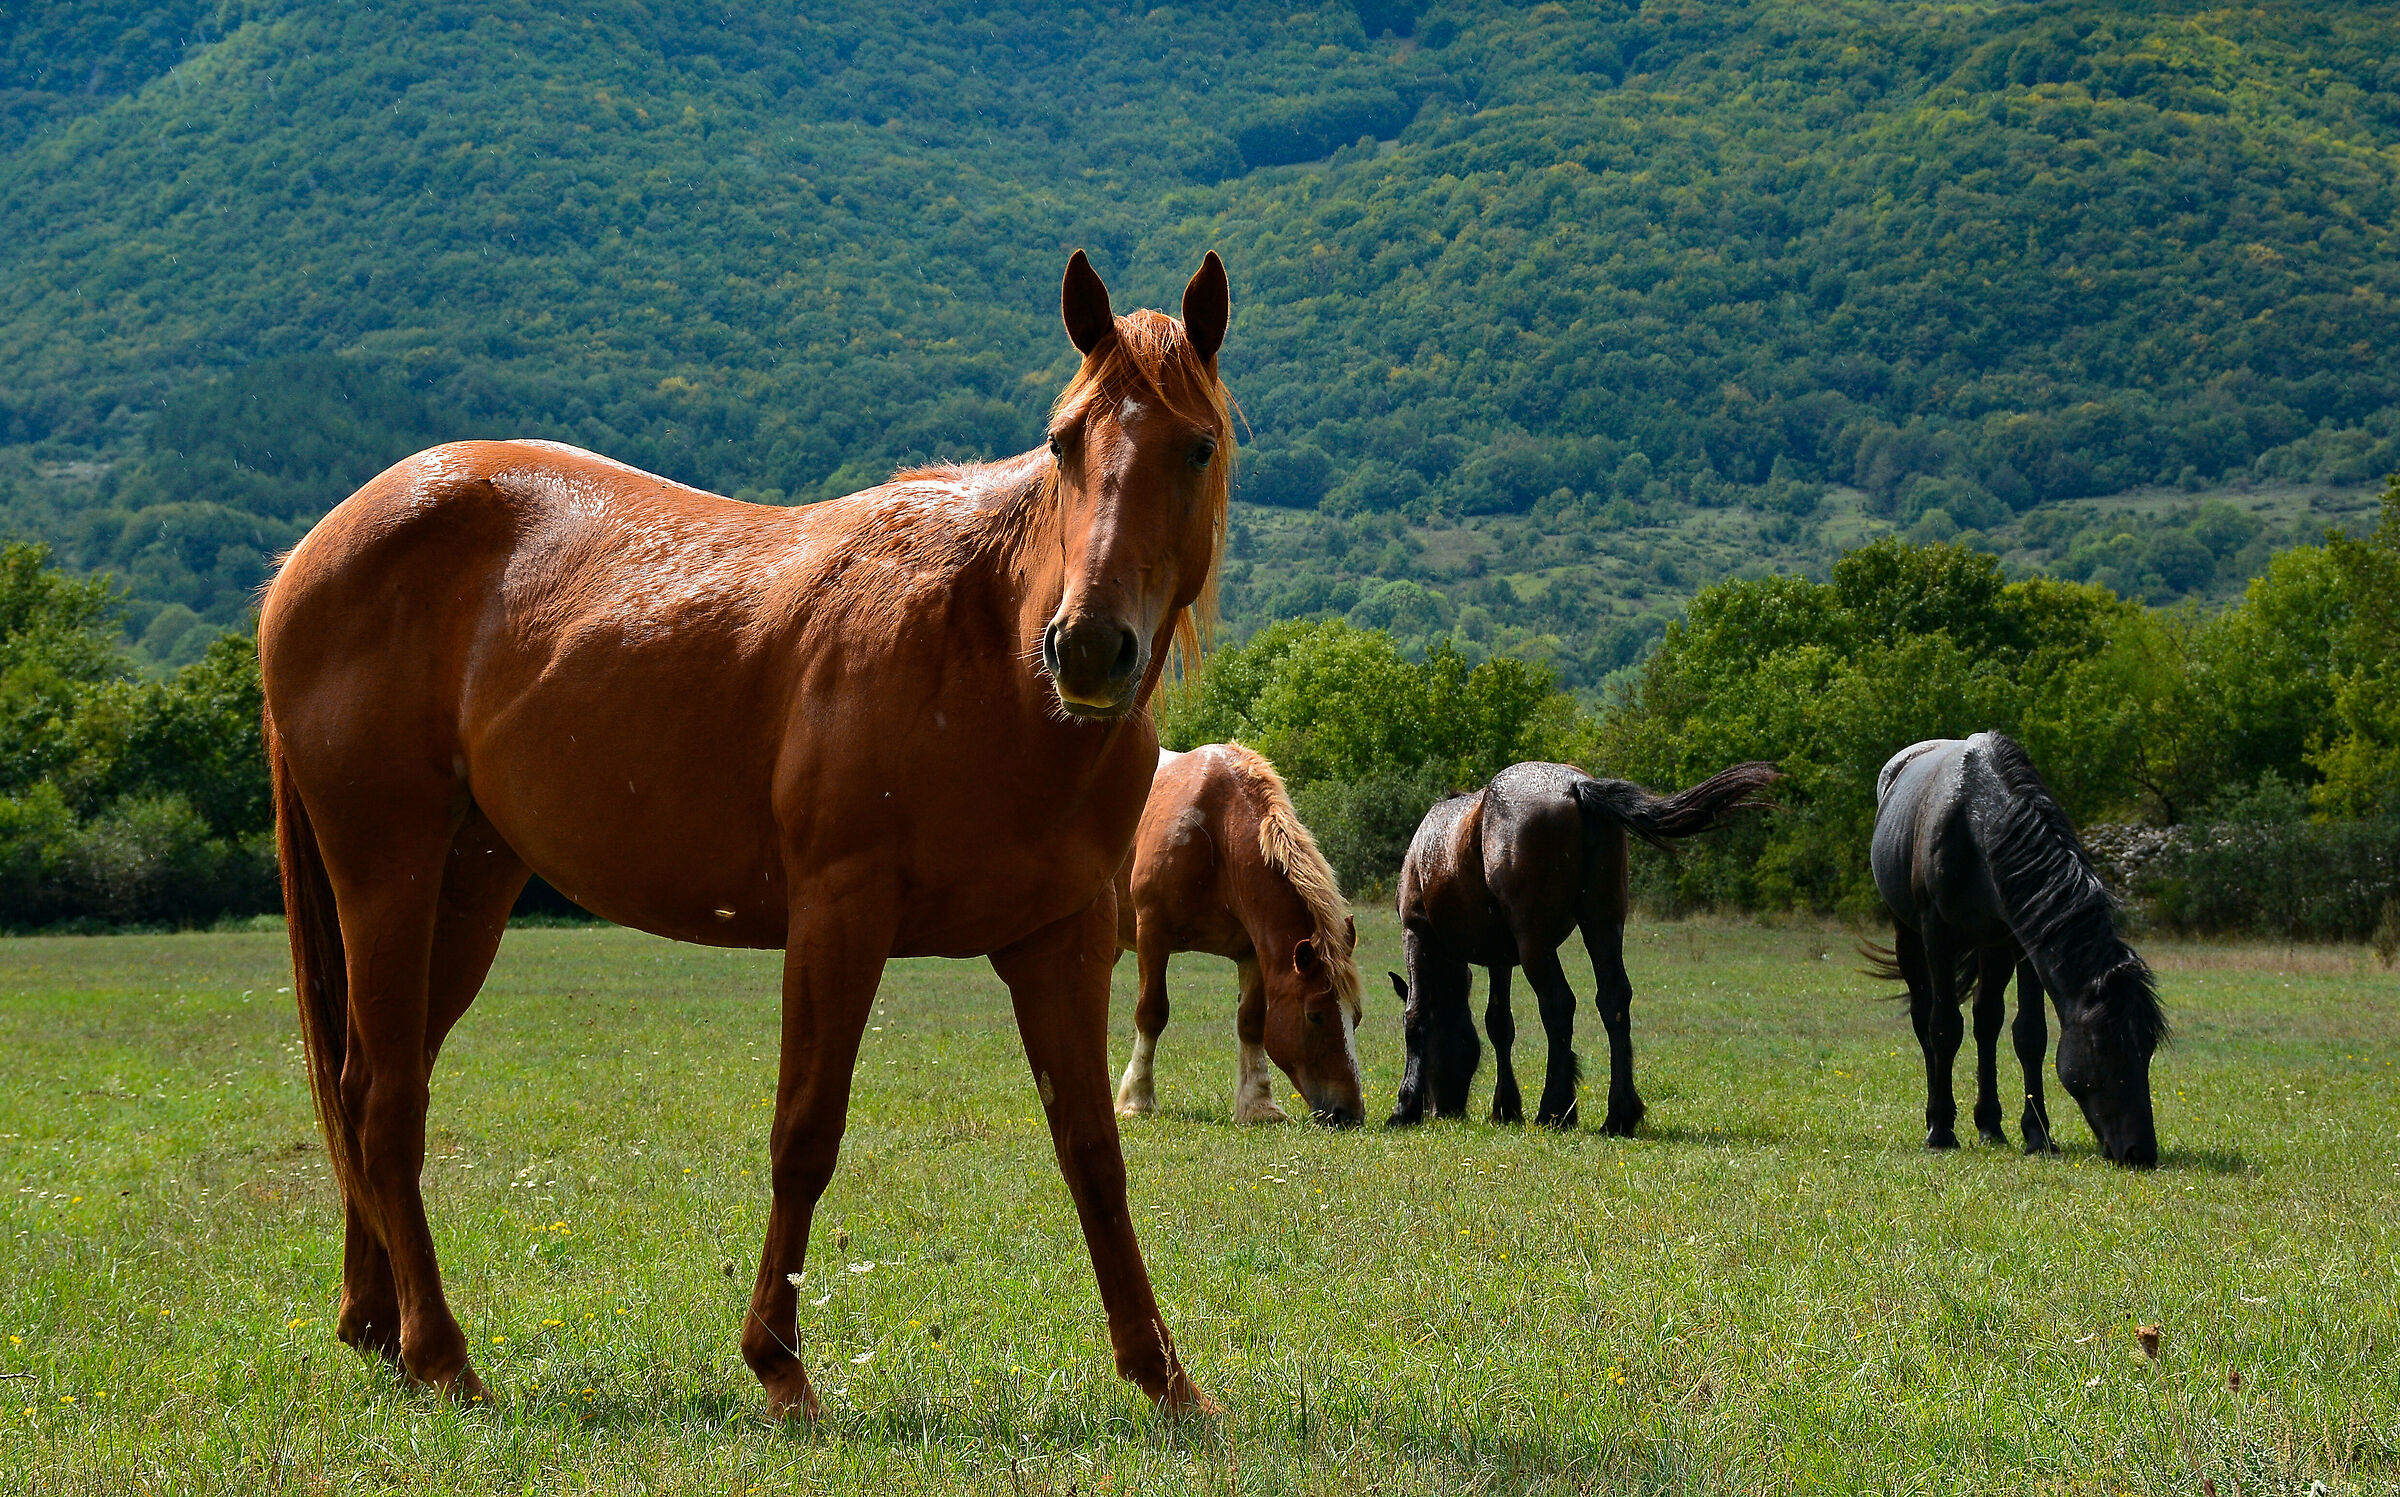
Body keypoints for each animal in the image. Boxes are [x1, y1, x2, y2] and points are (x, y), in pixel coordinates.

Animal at [256, 250, 1234, 1417]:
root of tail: (308, 557)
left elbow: (1092, 1148)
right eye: (1064, 440)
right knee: (388, 1098)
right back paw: (444, 1353)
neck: (983, 645)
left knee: (370, 1081)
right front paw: (779, 1364)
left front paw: (1166, 1377)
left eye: (1197, 445)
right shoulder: (841, 916)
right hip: (387, 873)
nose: (1087, 647)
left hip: (469, 887)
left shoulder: (1064, 941)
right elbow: (805, 1132)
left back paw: (378, 1326)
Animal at [1111, 743, 1365, 1127]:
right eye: (1314, 1015)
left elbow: (1251, 1022)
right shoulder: (1152, 934)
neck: (1216, 835)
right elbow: (1151, 1013)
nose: (1349, 1114)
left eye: (1357, 1018)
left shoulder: (1254, 951)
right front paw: (1136, 1099)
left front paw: (1258, 1104)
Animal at [1387, 760, 1779, 1131]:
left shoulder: (1417, 933)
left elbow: (1416, 1014)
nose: (1446, 1109)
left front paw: (1405, 1107)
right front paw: (1506, 1108)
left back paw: (1554, 1109)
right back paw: (1619, 1115)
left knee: (1558, 1005)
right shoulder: (1500, 958)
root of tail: (1577, 786)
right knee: (1614, 1000)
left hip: (1535, 941)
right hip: (1602, 924)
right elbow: (1499, 1024)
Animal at [1868, 731, 2165, 1167]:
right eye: (2102, 1045)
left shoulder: (2020, 941)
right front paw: (1941, 1132)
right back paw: (1937, 1118)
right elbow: (1944, 1028)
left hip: (1992, 948)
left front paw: (2037, 1135)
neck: (1979, 820)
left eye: (2147, 1046)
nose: (2140, 1151)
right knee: (1925, 1018)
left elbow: (2030, 1035)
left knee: (1987, 1022)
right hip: (1907, 933)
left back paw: (1990, 1125)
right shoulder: (1937, 933)